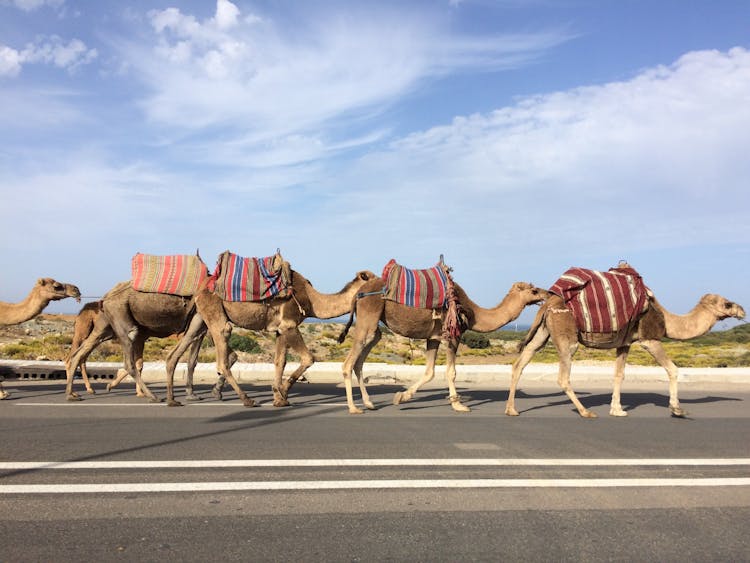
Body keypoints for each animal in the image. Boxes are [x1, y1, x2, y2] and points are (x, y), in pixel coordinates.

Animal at [63, 284, 206, 404]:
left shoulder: (200, 330)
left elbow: (192, 361)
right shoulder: (141, 337)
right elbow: (139, 364)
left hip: (102, 330)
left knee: (79, 355)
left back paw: (73, 393)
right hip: (100, 327)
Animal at [164, 270, 376, 408]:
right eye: (375, 279)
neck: (313, 300)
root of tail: (199, 289)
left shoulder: (280, 330)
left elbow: (279, 362)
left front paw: (279, 397)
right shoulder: (289, 324)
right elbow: (308, 358)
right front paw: (283, 393)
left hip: (199, 318)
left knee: (176, 353)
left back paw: (172, 400)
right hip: (215, 313)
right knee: (222, 354)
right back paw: (247, 400)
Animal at [340, 278, 548, 414]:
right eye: (534, 290)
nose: (547, 293)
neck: (474, 313)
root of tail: (358, 294)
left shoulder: (433, 337)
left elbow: (430, 372)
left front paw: (401, 396)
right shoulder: (453, 336)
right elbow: (451, 372)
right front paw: (458, 405)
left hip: (374, 326)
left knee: (360, 359)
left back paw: (369, 403)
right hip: (368, 316)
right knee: (348, 363)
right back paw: (353, 407)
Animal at [506, 290, 748, 418]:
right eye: (728, 304)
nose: (742, 310)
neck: (667, 319)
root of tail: (545, 305)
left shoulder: (624, 344)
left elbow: (619, 374)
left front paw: (617, 410)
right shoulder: (650, 340)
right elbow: (673, 369)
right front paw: (677, 408)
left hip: (543, 332)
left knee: (521, 361)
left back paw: (511, 409)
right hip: (566, 336)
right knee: (563, 376)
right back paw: (585, 412)